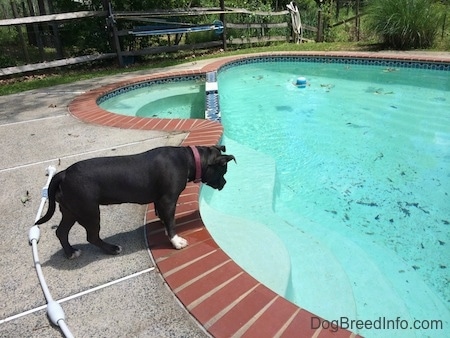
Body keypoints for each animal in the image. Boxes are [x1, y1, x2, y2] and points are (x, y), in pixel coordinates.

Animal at [35, 145, 236, 258]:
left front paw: (163, 226)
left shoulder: (160, 200)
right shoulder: (168, 200)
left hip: (71, 210)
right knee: (91, 236)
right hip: (89, 211)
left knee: (61, 232)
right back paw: (111, 249)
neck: (189, 159)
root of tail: (64, 174)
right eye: (223, 171)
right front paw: (176, 241)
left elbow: (165, 218)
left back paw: (70, 252)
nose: (225, 183)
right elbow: (171, 223)